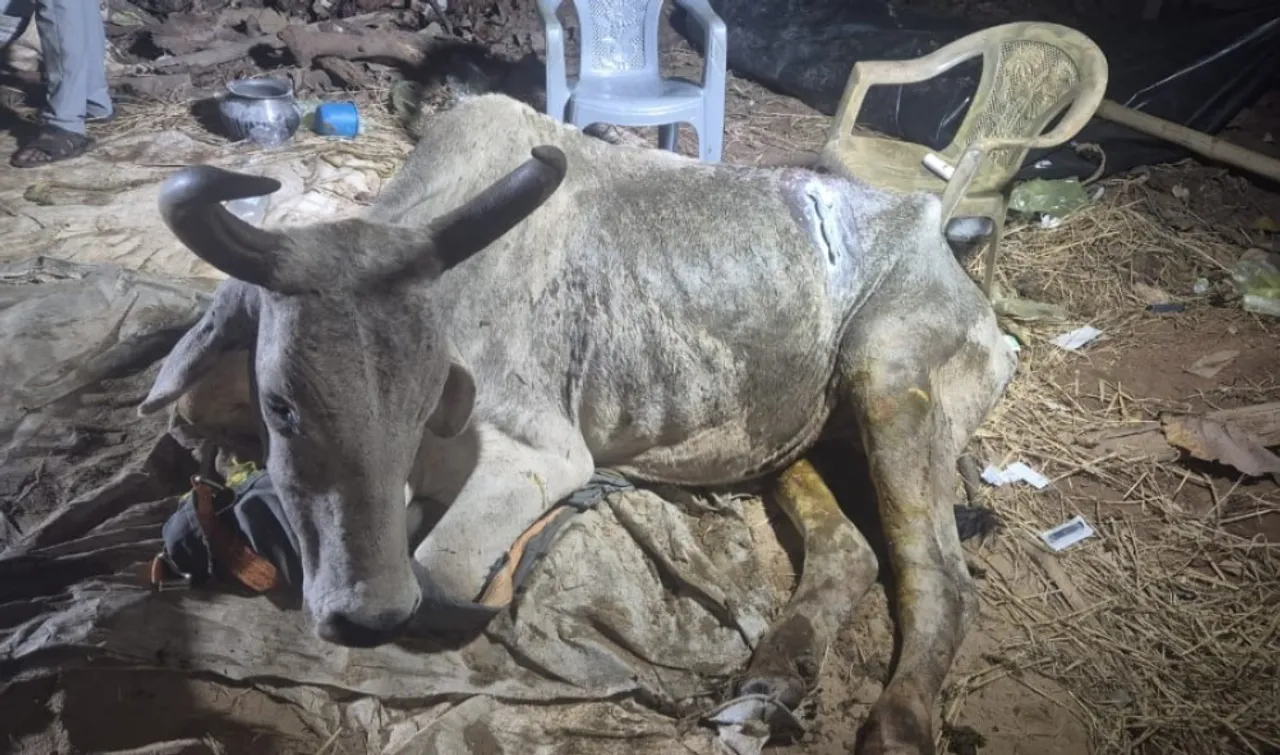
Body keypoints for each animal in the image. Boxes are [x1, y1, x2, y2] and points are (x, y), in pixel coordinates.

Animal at [138, 93, 1017, 755]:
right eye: (282, 405)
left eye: (424, 399)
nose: (367, 612)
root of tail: (949, 249)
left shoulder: (545, 455)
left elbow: (438, 569)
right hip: (792, 438)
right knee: (849, 549)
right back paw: (774, 671)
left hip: (888, 376)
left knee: (941, 582)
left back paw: (895, 722)